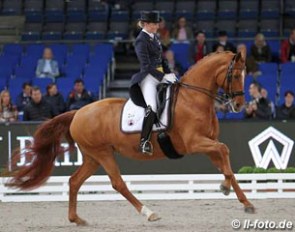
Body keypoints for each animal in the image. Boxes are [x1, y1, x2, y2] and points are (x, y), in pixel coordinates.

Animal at [8, 49, 256, 225]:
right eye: (235, 74)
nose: (238, 105)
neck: (193, 99)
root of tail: (78, 112)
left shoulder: (208, 144)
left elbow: (226, 164)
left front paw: (244, 201)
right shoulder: (194, 143)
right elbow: (225, 150)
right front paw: (225, 188)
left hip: (92, 156)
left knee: (74, 181)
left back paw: (76, 219)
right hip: (102, 153)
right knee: (118, 183)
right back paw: (149, 213)